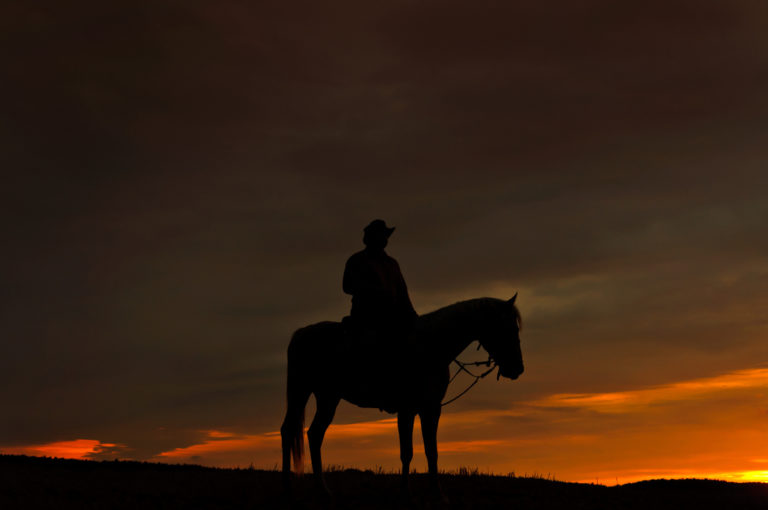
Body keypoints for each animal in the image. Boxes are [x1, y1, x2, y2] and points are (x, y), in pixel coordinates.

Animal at [280, 294, 524, 498]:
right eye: (508, 328)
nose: (518, 369)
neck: (430, 347)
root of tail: (302, 333)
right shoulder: (406, 410)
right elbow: (407, 452)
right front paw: (406, 492)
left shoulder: (431, 409)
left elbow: (431, 451)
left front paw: (437, 493)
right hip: (301, 391)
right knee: (289, 430)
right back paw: (287, 488)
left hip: (328, 397)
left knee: (314, 434)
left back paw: (323, 489)